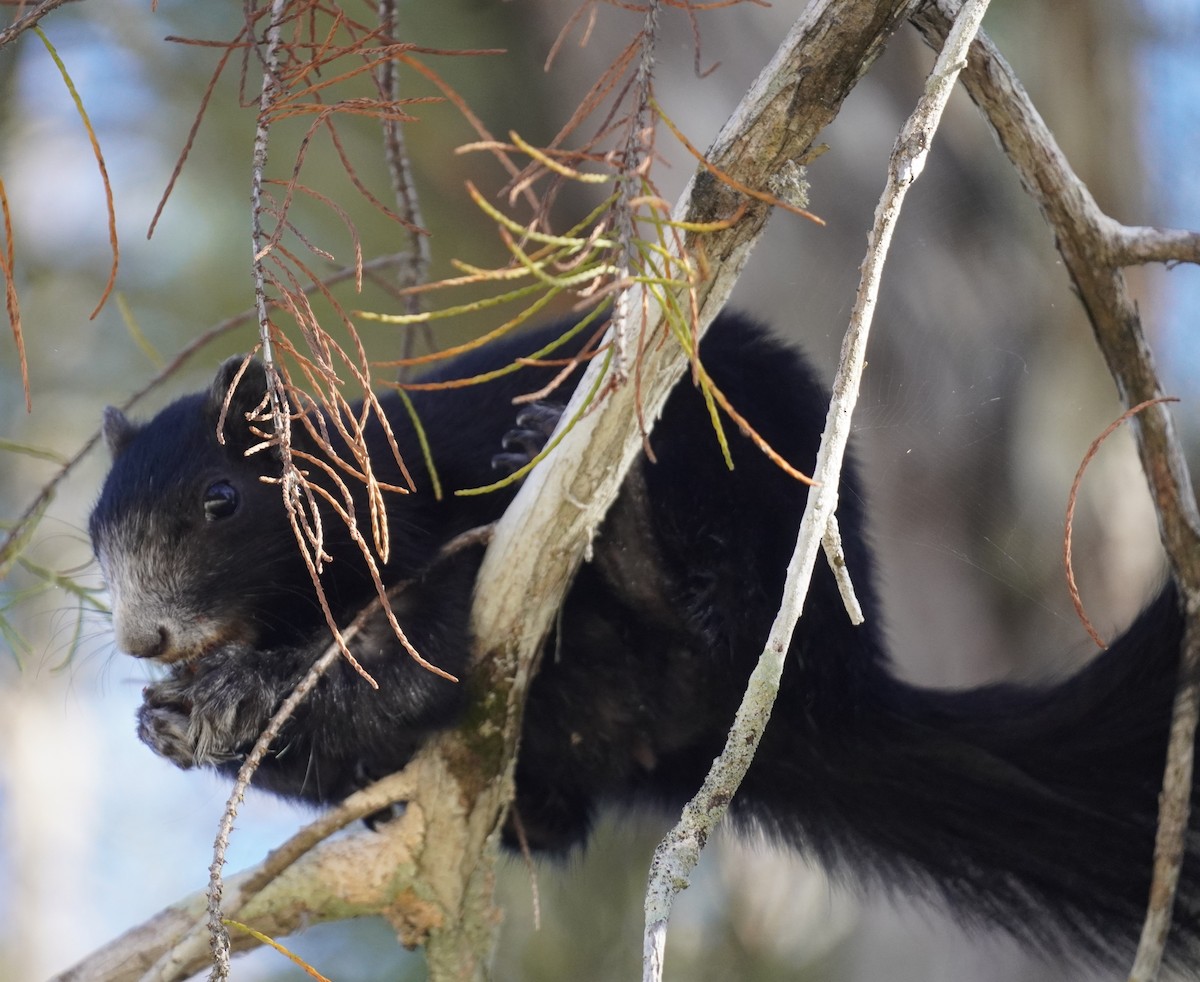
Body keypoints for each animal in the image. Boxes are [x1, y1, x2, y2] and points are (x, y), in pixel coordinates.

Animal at [90, 311, 1198, 969]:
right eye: (96, 532)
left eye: (221, 499)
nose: (145, 639)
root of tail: (838, 695)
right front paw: (183, 718)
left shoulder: (446, 526)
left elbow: (411, 652)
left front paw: (235, 690)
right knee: (549, 813)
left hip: (744, 500)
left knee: (703, 613)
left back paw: (622, 533)